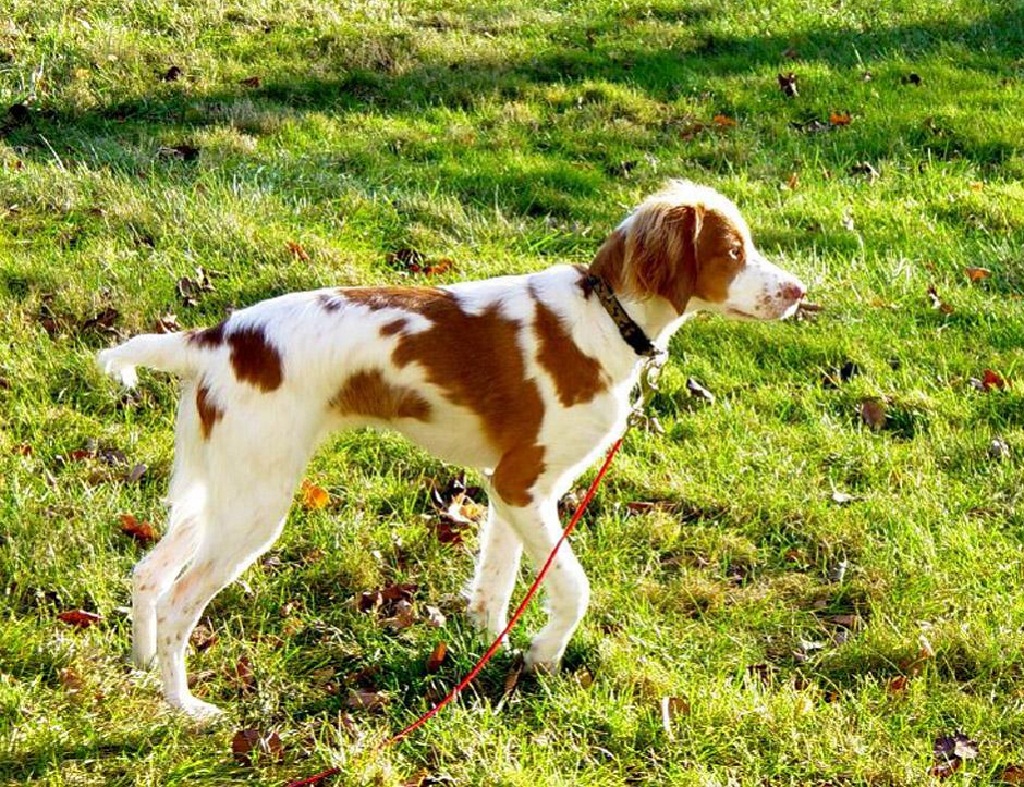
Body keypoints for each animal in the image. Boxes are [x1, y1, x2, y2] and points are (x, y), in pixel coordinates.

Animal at [99, 180, 811, 720]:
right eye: (731, 250)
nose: (800, 291)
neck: (604, 319)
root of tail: (217, 336)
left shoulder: (511, 488)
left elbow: (498, 583)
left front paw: (488, 654)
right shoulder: (524, 483)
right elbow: (573, 586)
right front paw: (544, 655)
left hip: (218, 490)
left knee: (148, 574)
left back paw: (140, 668)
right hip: (256, 503)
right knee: (180, 601)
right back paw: (186, 709)